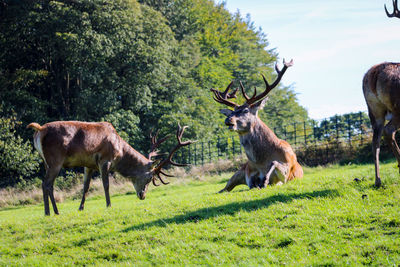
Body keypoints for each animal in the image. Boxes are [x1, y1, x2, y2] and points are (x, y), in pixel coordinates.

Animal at [27, 121, 194, 216]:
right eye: (149, 178)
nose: (142, 195)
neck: (119, 151)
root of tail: (39, 130)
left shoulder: (88, 165)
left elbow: (85, 187)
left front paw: (81, 208)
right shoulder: (105, 160)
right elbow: (106, 185)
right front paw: (109, 205)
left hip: (47, 162)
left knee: (47, 184)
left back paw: (51, 211)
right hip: (56, 160)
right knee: (46, 183)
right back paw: (52, 212)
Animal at [212, 59, 304, 193]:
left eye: (245, 110)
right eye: (232, 112)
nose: (228, 120)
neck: (261, 162)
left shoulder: (286, 174)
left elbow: (274, 164)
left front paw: (264, 181)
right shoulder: (248, 172)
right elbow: (251, 182)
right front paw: (259, 181)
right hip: (237, 173)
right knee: (224, 189)